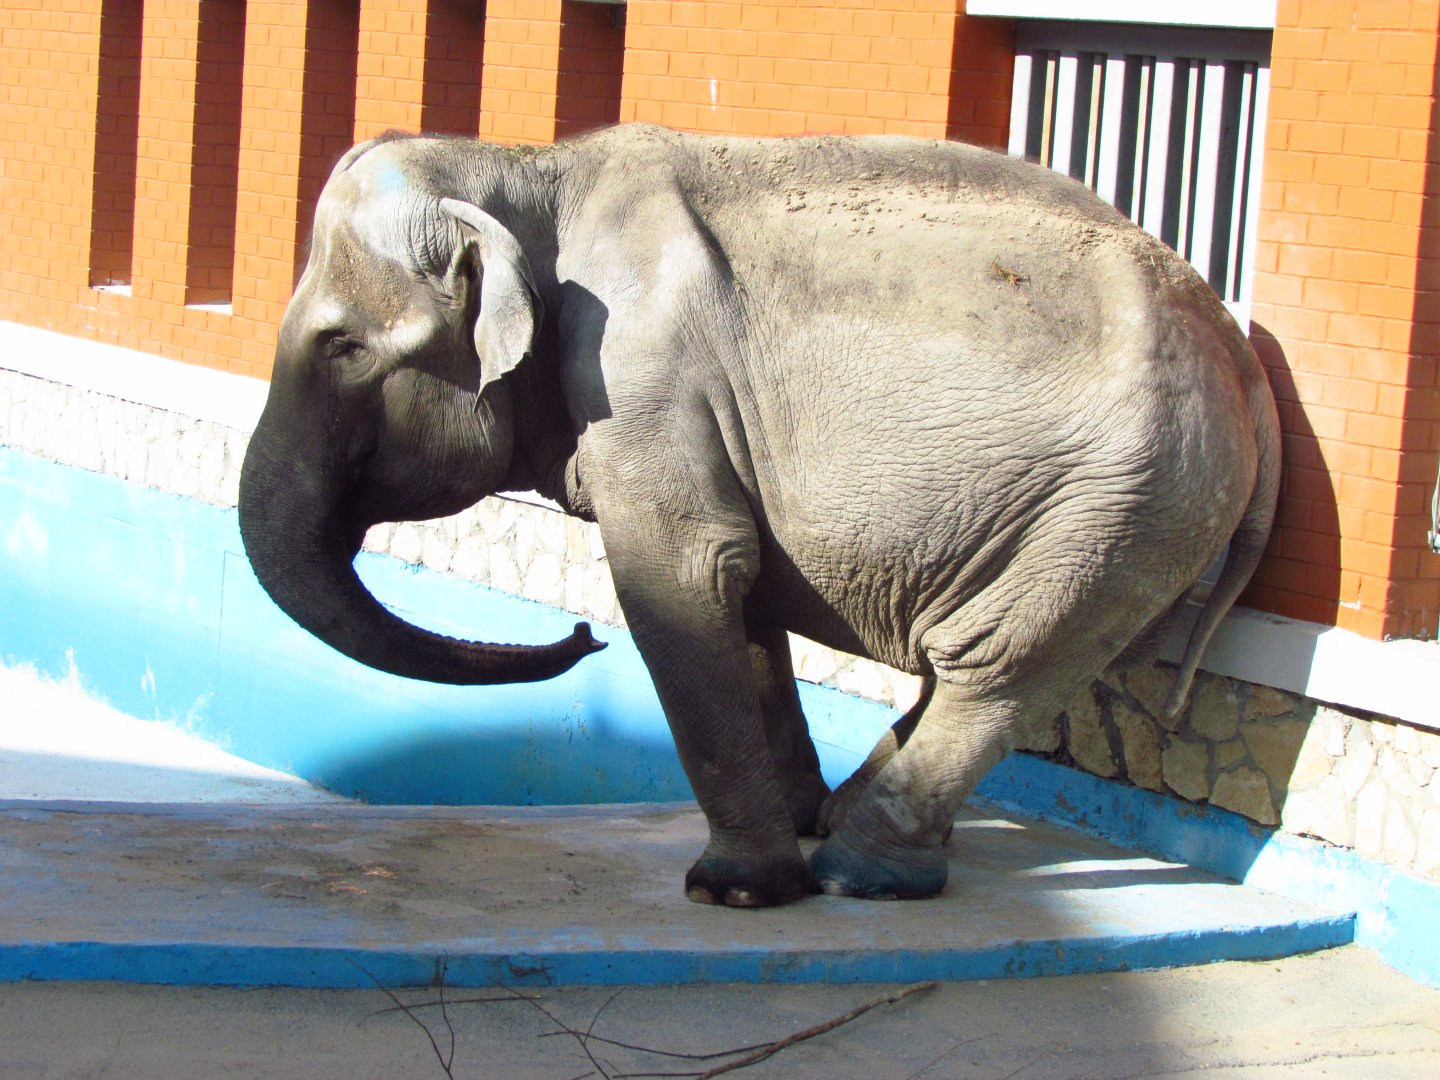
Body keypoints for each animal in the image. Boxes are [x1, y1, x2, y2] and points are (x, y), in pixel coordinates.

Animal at [238, 124, 1280, 908]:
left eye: (339, 346)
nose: (577, 637)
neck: (531, 168)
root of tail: (1238, 348)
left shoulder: (643, 377)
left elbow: (680, 573)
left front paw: (737, 891)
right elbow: (733, 602)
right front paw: (781, 838)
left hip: (1131, 498)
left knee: (1000, 660)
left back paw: (858, 874)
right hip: (1131, 513)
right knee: (1006, 653)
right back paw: (843, 828)